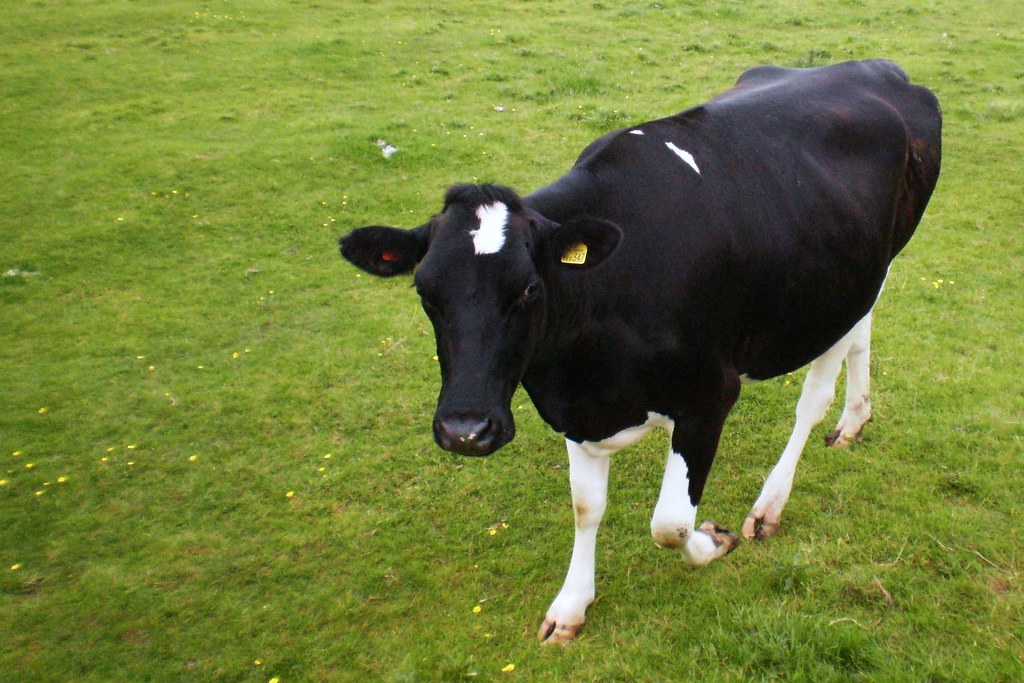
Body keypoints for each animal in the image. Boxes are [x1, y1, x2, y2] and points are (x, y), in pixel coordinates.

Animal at [339, 60, 941, 644]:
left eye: (530, 289)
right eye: (425, 290)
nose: (465, 431)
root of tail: (878, 68)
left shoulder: (708, 396)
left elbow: (670, 524)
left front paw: (715, 539)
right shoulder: (575, 408)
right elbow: (586, 507)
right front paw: (571, 606)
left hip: (849, 288)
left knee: (812, 398)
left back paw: (770, 506)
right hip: (857, 273)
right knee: (862, 336)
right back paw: (854, 420)